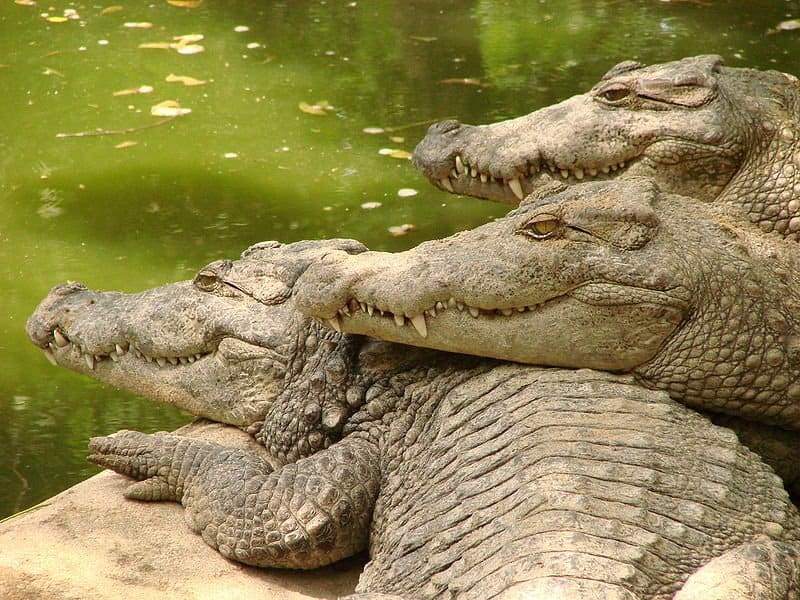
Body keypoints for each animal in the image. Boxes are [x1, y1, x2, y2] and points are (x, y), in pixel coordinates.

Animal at [26, 238, 800, 599]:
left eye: (209, 281)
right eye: (241, 257)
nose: (63, 294)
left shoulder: (360, 458)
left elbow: (268, 511)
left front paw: (153, 451)